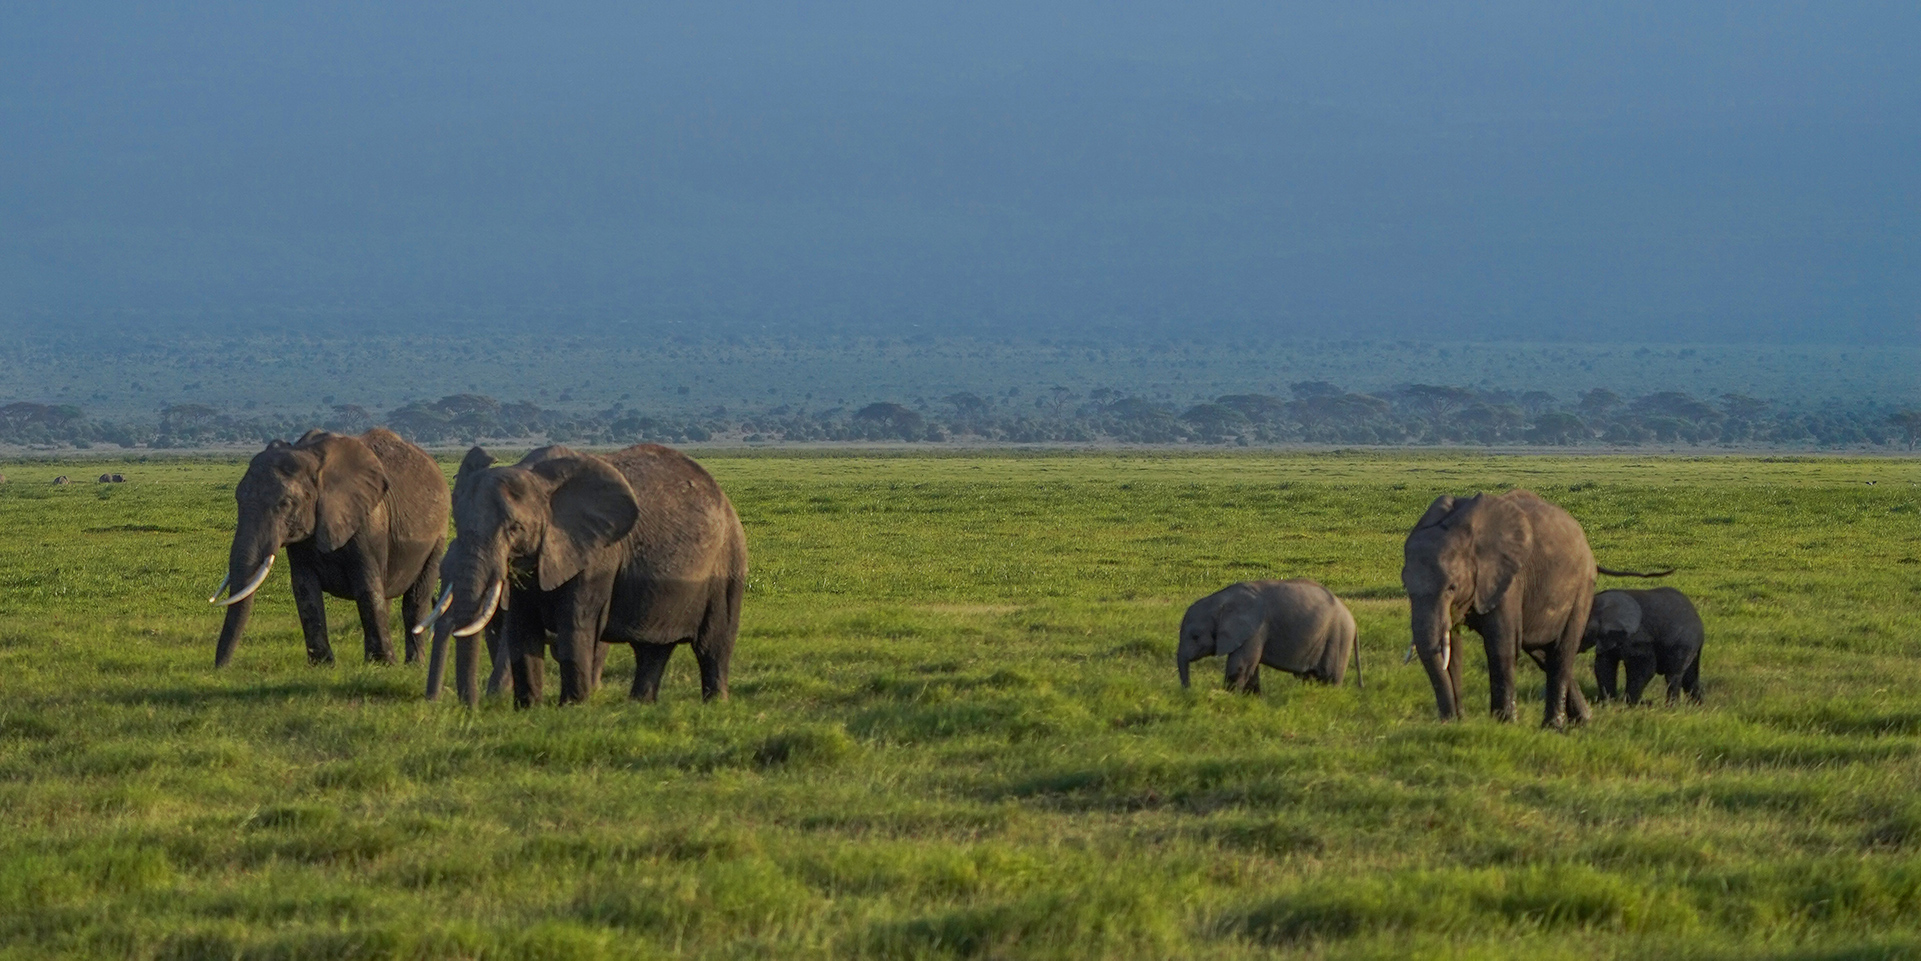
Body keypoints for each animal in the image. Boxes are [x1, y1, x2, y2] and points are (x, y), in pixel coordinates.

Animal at [209, 430, 449, 668]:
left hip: (438, 535)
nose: (221, 668)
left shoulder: (368, 522)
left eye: (285, 504)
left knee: (416, 598)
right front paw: (322, 665)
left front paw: (384, 664)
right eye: (238, 498)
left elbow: (367, 587)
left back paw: (413, 664)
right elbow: (305, 589)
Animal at [424, 442, 745, 707]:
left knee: (712, 645)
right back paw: (640, 705)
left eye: (515, 528)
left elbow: (574, 623)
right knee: (652, 650)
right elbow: (521, 627)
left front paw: (572, 707)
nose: (471, 707)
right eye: (458, 523)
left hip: (728, 562)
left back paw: (714, 704)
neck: (537, 479)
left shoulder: (597, 556)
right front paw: (528, 708)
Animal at [1175, 576, 1360, 691]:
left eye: (1195, 637)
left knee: (1330, 678)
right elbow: (1250, 669)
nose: (1189, 692)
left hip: (1339, 637)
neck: (1222, 599)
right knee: (1309, 677)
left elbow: (1241, 666)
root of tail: (1353, 621)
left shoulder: (1255, 629)